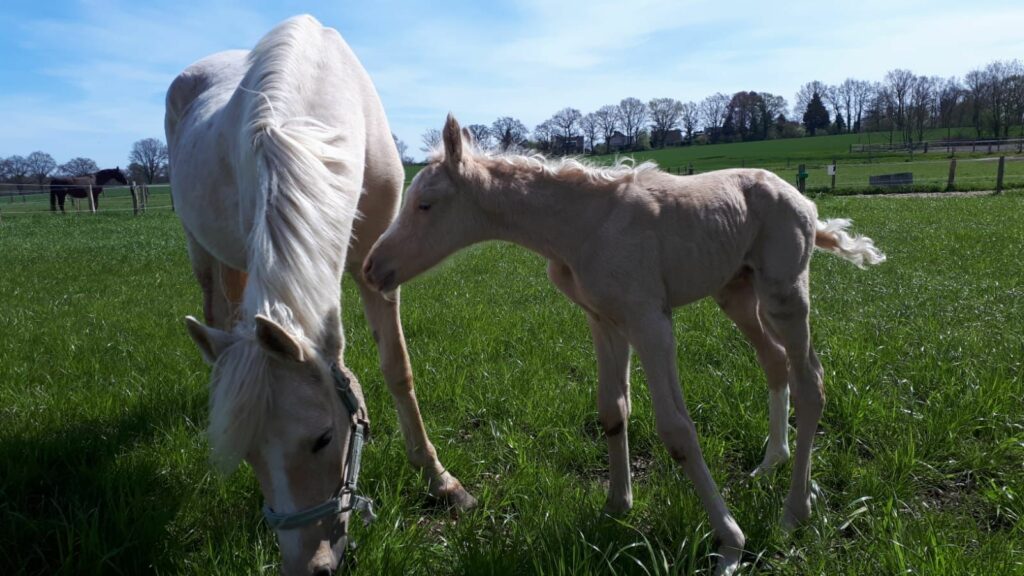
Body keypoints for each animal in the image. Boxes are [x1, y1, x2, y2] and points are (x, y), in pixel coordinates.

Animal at [164, 15, 475, 569]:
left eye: (323, 438)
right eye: (248, 456)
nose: (311, 566)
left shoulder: (377, 264)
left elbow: (398, 368)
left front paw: (441, 481)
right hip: (201, 247)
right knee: (218, 312)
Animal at [364, 114, 884, 573]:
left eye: (426, 204)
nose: (371, 268)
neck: (582, 225)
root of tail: (804, 201)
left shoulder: (650, 322)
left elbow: (677, 431)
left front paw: (730, 544)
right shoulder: (604, 321)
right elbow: (613, 410)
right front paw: (617, 507)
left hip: (784, 294)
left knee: (811, 381)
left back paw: (795, 511)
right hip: (735, 292)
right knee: (775, 362)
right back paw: (772, 462)